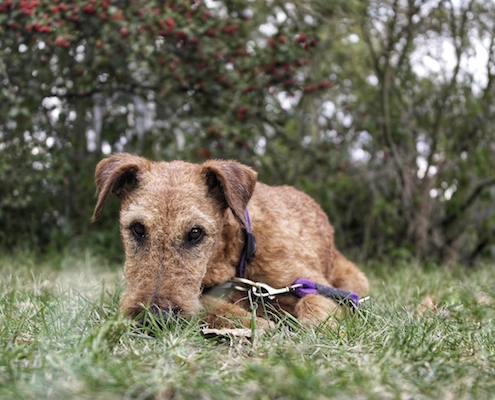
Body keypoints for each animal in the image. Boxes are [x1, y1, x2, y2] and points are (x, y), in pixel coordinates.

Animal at [92, 154, 368, 328]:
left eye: (195, 232)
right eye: (138, 228)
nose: (153, 318)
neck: (240, 255)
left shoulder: (315, 287)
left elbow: (314, 309)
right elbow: (210, 306)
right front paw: (260, 325)